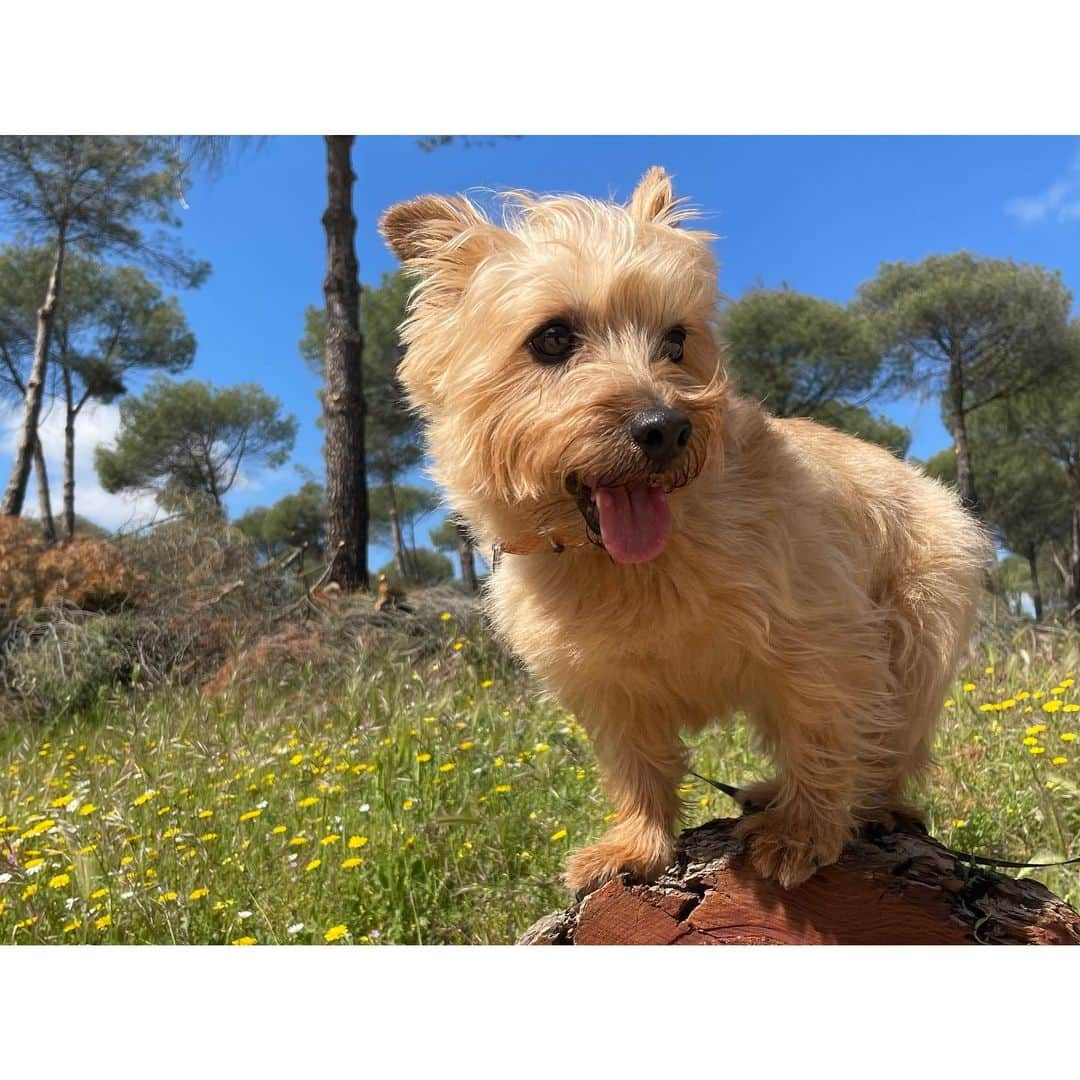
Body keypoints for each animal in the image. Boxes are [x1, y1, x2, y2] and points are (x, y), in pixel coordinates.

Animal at [378, 168, 989, 889]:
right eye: (552, 338)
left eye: (675, 340)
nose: (666, 427)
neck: (624, 564)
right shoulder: (605, 687)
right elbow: (636, 765)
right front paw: (636, 845)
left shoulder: (827, 641)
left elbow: (823, 730)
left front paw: (803, 831)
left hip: (919, 641)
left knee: (887, 742)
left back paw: (863, 804)